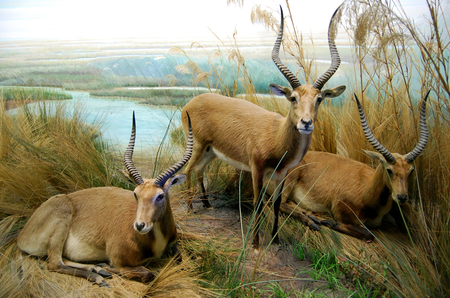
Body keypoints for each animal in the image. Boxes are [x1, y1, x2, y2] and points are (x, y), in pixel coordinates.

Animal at [17, 111, 193, 286]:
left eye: (160, 196)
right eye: (135, 194)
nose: (140, 225)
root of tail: (22, 236)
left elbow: (181, 259)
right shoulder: (119, 261)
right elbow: (147, 273)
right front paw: (106, 266)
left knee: (63, 259)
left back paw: (96, 269)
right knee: (54, 263)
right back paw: (99, 274)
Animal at [181, 6, 346, 249]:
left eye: (319, 99)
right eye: (293, 97)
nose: (306, 123)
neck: (276, 137)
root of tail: (190, 103)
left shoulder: (282, 175)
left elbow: (276, 205)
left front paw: (275, 239)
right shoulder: (257, 170)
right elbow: (258, 203)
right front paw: (256, 243)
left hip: (211, 151)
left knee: (199, 169)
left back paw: (207, 204)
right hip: (198, 146)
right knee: (187, 170)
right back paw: (191, 208)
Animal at [278, 92, 428, 241]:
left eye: (411, 170)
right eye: (389, 169)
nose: (402, 197)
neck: (366, 188)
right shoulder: (341, 212)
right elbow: (368, 233)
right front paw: (329, 222)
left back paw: (311, 215)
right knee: (281, 203)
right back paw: (312, 221)